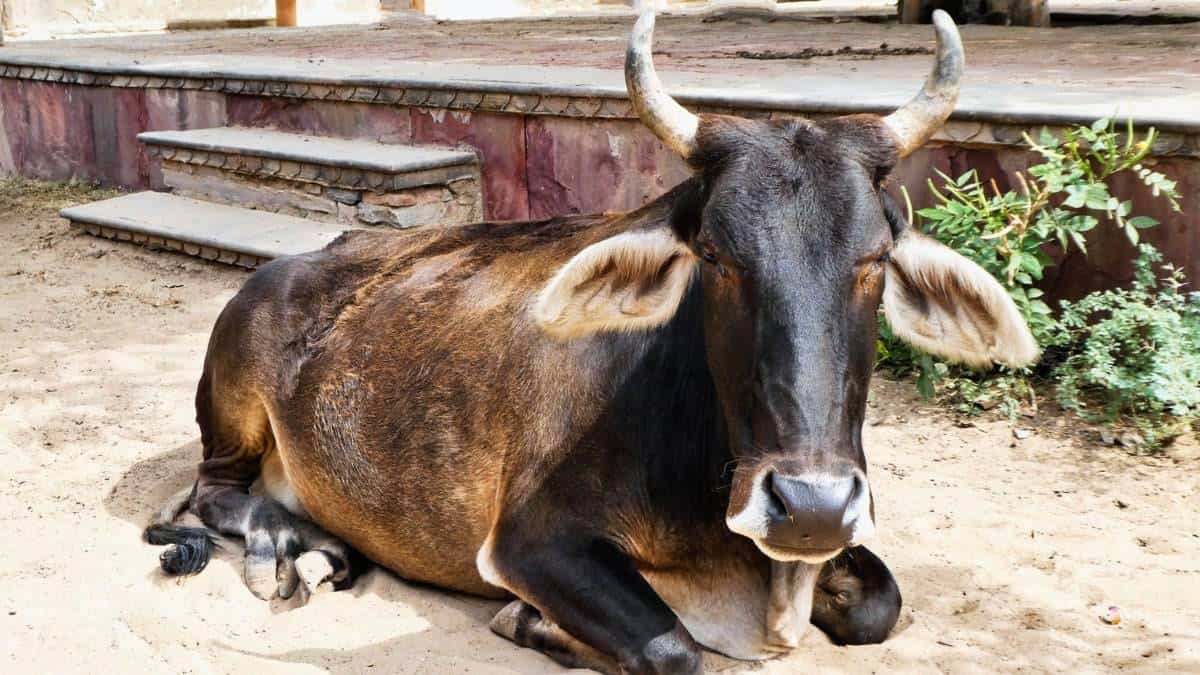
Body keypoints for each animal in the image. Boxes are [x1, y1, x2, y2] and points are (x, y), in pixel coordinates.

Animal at [145, 11, 1036, 672]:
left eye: (875, 258)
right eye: (715, 255)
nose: (809, 504)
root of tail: (297, 260)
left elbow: (881, 604)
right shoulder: (533, 540)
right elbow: (675, 647)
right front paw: (528, 622)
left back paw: (323, 551)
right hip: (232, 404)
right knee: (214, 491)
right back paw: (286, 542)